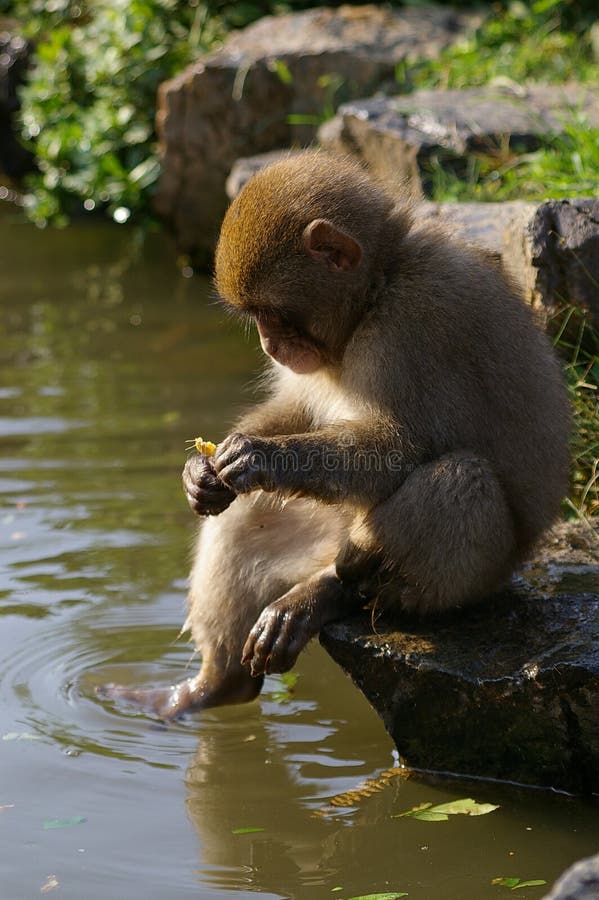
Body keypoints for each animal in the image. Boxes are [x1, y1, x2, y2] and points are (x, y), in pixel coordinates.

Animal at [103, 150, 570, 720]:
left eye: (273, 314)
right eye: (256, 317)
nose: (269, 344)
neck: (380, 285)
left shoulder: (412, 321)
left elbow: (399, 447)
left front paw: (262, 459)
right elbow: (298, 408)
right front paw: (201, 471)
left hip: (478, 578)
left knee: (461, 480)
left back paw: (337, 589)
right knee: (245, 517)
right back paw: (216, 685)